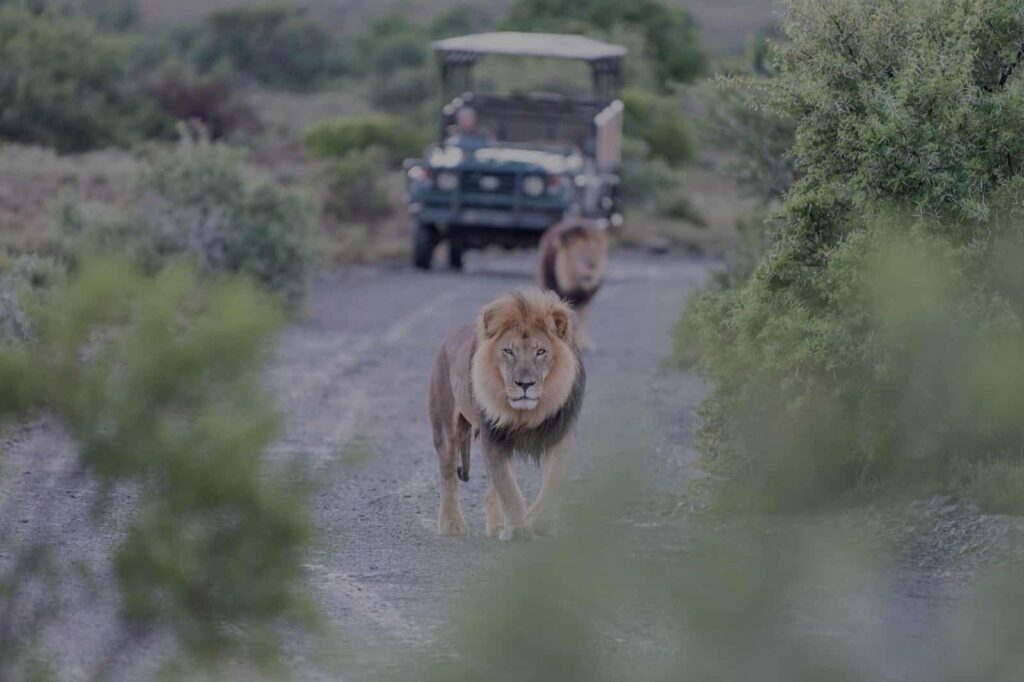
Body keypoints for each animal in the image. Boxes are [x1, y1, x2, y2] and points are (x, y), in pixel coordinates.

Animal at [428, 288, 585, 540]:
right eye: (508, 351)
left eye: (541, 352)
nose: (525, 384)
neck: (528, 414)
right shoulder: (494, 437)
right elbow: (508, 489)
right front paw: (519, 530)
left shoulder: (559, 436)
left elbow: (552, 483)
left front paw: (537, 523)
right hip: (444, 429)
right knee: (449, 474)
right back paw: (452, 524)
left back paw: (496, 527)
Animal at [538, 217, 608, 351]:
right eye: (579, 252)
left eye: (594, 250)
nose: (592, 265)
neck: (573, 287)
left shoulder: (586, 299)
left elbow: (583, 320)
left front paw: (583, 343)